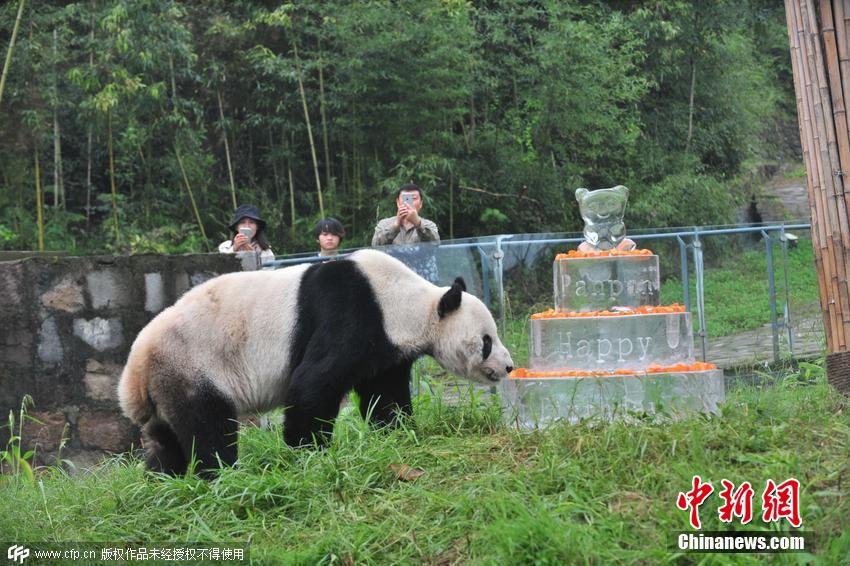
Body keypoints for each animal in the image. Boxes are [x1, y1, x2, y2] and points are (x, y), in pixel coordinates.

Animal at [116, 251, 512, 478]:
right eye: (487, 341)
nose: (508, 368)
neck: (407, 301)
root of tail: (134, 369)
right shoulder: (353, 314)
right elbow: (313, 382)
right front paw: (307, 450)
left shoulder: (386, 348)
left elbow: (385, 395)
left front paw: (398, 431)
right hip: (192, 366)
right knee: (207, 427)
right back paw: (222, 475)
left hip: (166, 382)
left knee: (167, 438)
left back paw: (163, 479)